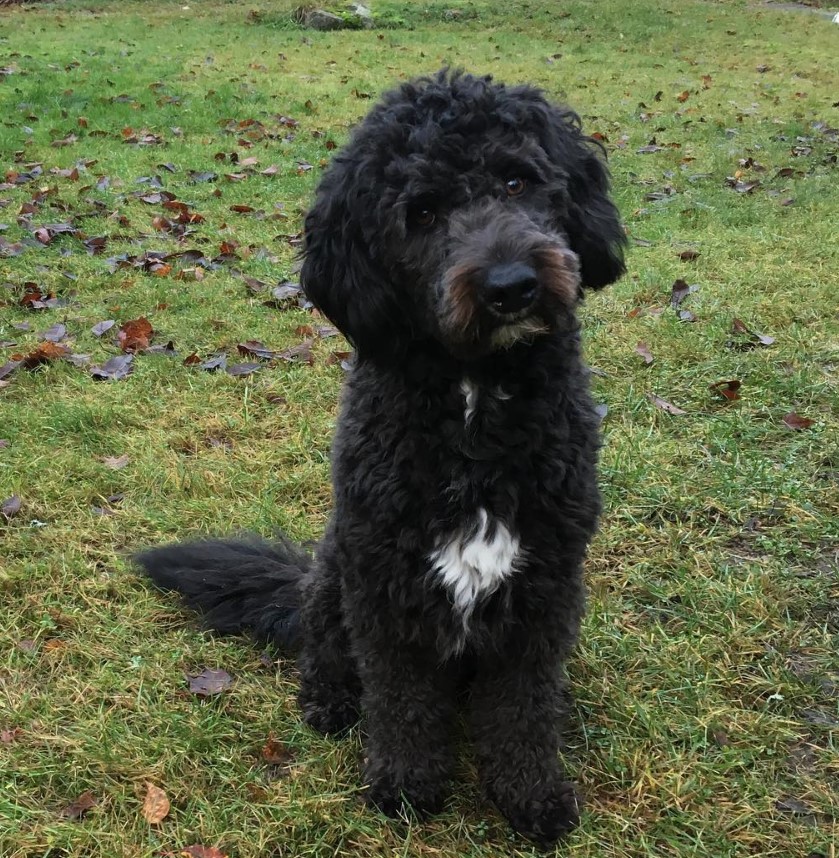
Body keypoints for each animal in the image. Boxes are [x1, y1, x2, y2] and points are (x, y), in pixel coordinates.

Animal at [138, 68, 624, 844]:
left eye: (517, 181)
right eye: (421, 212)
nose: (511, 286)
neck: (472, 408)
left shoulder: (544, 586)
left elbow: (522, 703)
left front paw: (531, 793)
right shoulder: (385, 583)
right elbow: (401, 699)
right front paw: (405, 785)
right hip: (334, 577)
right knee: (327, 655)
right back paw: (331, 703)